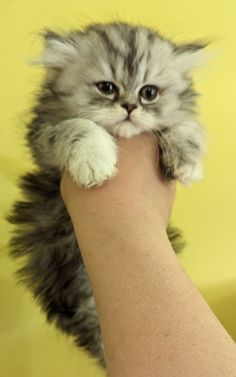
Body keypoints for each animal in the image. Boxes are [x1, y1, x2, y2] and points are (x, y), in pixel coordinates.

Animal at [8, 22, 205, 366]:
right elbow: (79, 127)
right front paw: (95, 161)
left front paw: (187, 159)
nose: (129, 107)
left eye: (148, 93)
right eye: (106, 88)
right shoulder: (44, 139)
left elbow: (183, 124)